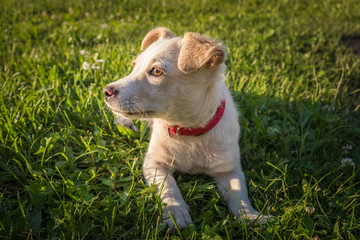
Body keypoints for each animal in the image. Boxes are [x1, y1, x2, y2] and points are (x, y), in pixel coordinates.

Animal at [103, 27, 268, 229]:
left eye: (156, 71)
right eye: (134, 65)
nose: (106, 90)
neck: (187, 130)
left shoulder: (229, 170)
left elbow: (239, 194)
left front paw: (250, 216)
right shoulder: (154, 164)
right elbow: (168, 187)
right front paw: (176, 212)